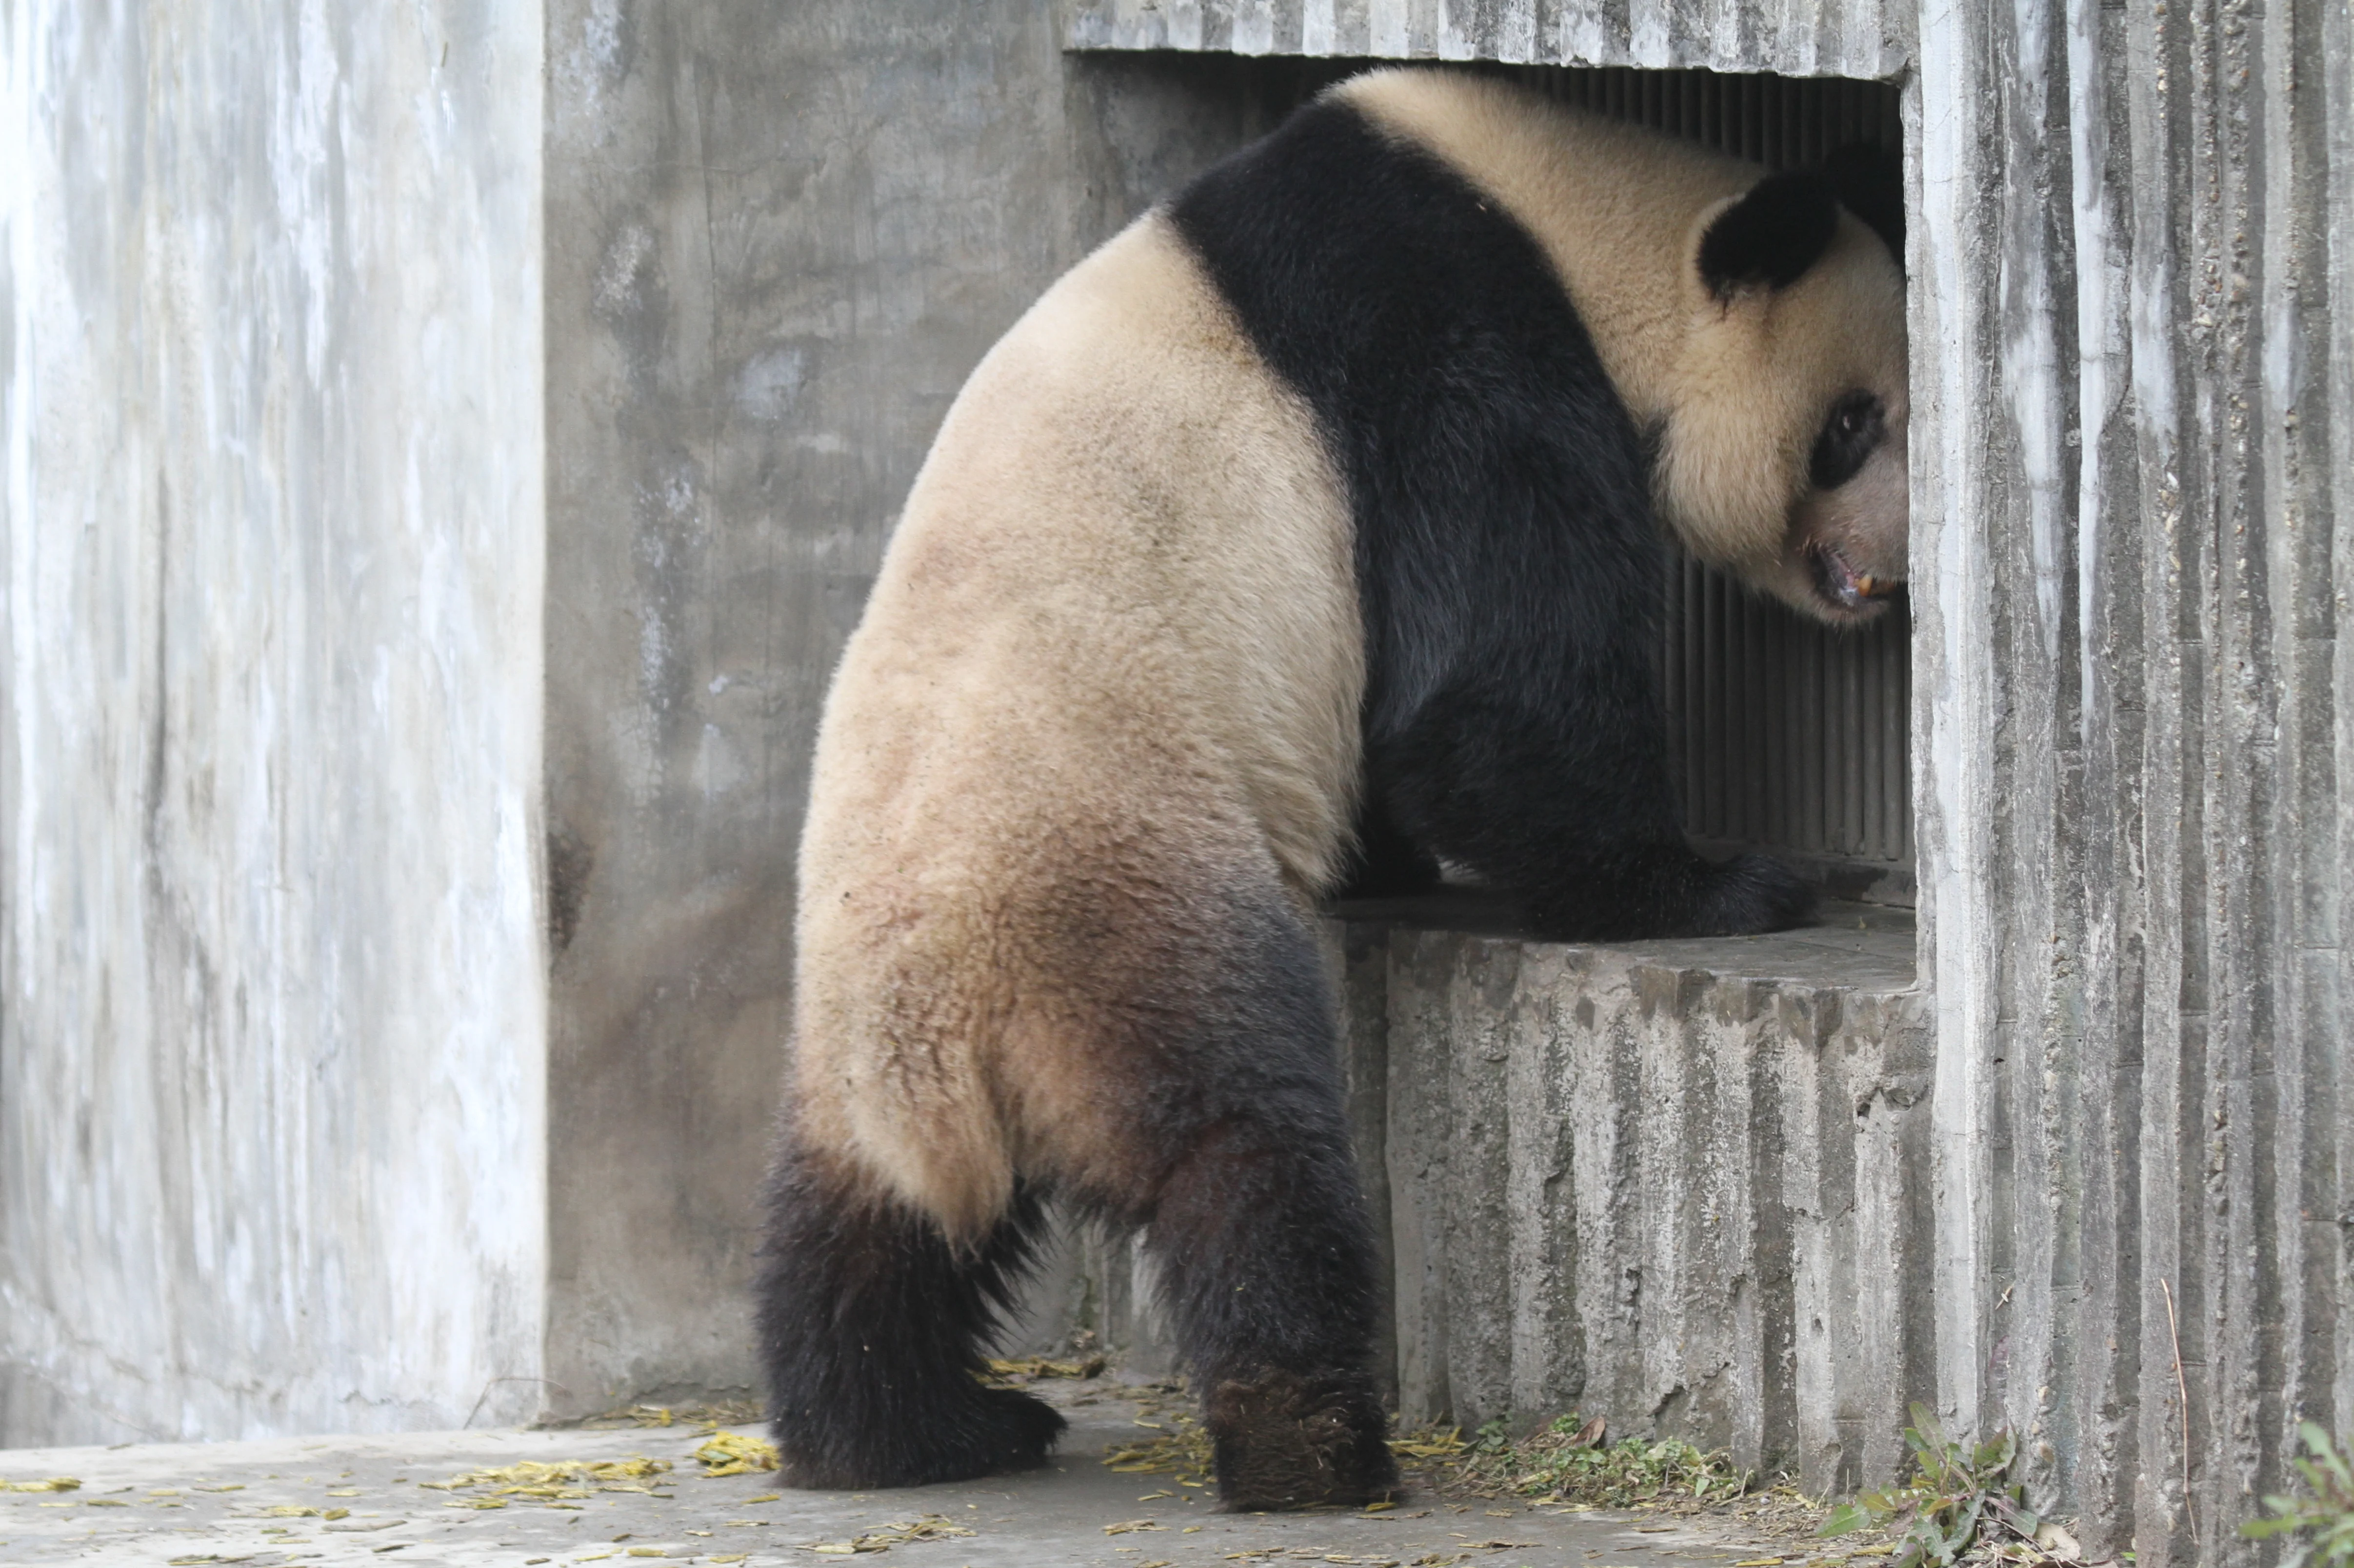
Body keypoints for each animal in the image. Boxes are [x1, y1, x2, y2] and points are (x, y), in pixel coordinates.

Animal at [756, 67, 1908, 1511]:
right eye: (1850, 423)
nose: (1895, 572)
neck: (1572, 211)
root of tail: (939, 1020)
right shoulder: (1439, 330)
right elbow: (1490, 678)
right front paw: (1710, 885)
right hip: (1121, 892)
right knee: (1244, 1157)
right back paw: (1313, 1448)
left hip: (847, 1037)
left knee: (864, 1236)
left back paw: (905, 1431)